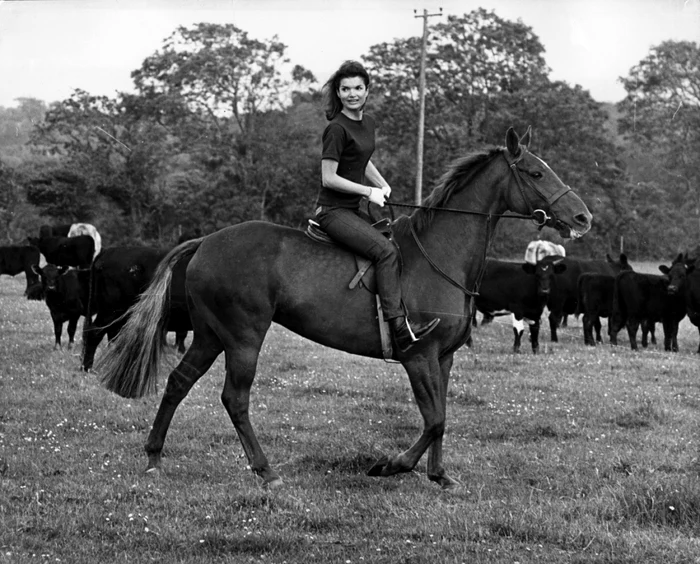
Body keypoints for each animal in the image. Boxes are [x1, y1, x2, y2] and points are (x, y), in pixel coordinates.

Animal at [95, 128, 592, 490]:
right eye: (536, 173)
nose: (583, 218)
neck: (440, 255)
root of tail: (206, 242)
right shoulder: (418, 355)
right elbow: (434, 419)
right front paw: (391, 466)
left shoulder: (444, 357)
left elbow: (442, 418)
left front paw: (438, 475)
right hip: (242, 336)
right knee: (234, 398)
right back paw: (265, 471)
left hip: (210, 334)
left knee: (178, 382)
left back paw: (154, 458)